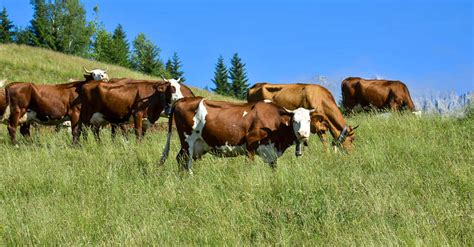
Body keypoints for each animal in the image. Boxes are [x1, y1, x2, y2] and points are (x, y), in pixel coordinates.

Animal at [160, 96, 314, 174]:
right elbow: (249, 166)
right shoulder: (251, 144)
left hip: (196, 145)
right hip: (188, 141)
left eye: (309, 120)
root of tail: (183, 99)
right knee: (186, 162)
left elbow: (273, 169)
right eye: (294, 121)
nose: (302, 133)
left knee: (180, 159)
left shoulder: (271, 151)